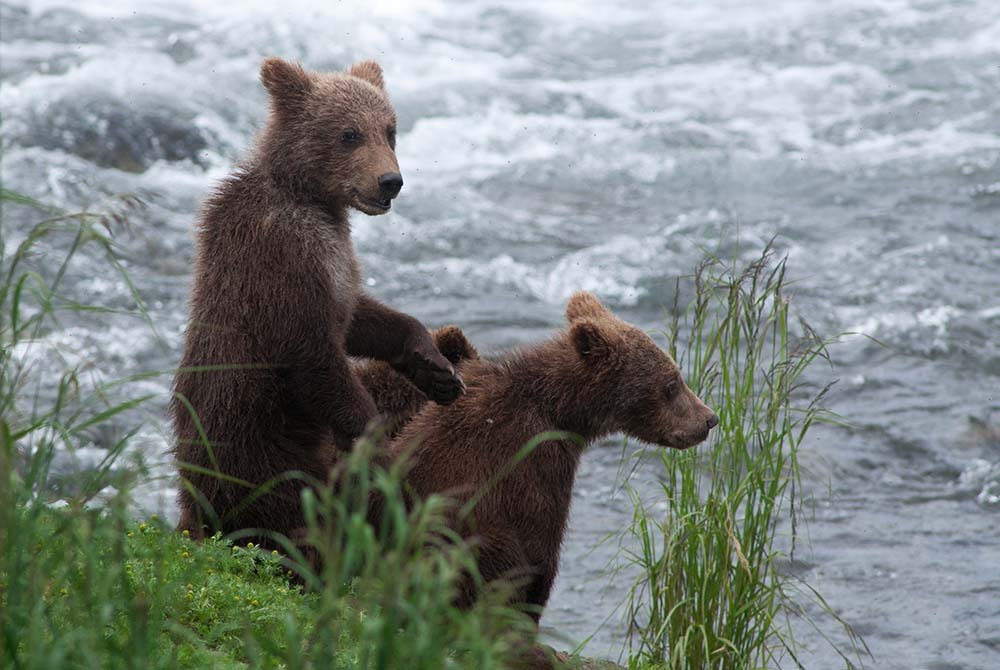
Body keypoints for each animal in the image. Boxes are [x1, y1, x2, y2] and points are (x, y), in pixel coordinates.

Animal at [171, 57, 464, 544]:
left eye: (390, 129)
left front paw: (436, 369)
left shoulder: (337, 266)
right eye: (349, 133)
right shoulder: (284, 262)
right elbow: (316, 359)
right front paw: (378, 445)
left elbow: (361, 316)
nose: (390, 181)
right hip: (256, 444)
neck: (311, 198)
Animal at [381, 292, 718, 651]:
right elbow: (539, 550)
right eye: (670, 383)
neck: (559, 410)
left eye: (676, 374)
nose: (709, 418)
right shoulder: (529, 461)